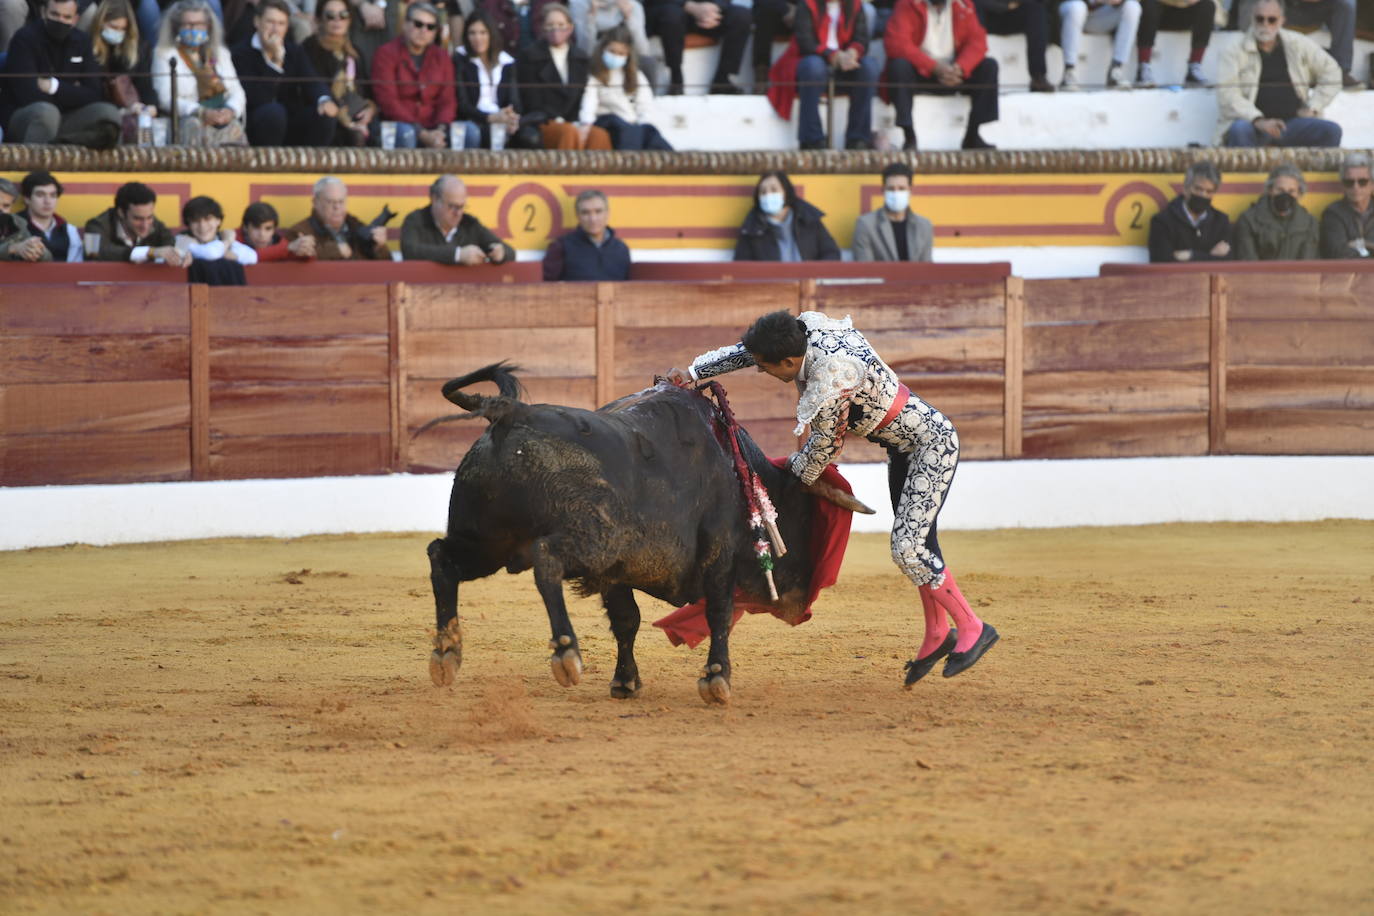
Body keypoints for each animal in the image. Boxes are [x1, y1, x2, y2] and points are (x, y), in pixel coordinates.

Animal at [423, 362, 868, 708]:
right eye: (804, 518)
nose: (800, 605)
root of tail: (511, 413)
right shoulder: (717, 556)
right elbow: (719, 613)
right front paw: (717, 678)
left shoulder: (617, 573)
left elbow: (627, 620)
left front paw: (625, 682)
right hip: (592, 541)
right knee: (545, 559)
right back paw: (566, 653)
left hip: (488, 542)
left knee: (441, 558)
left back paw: (446, 653)